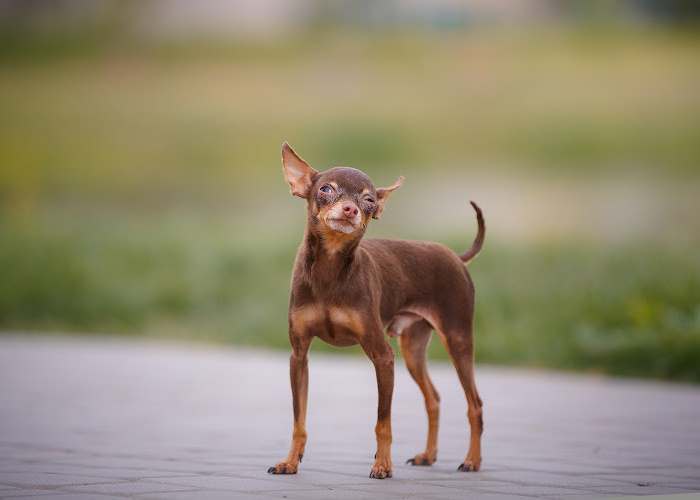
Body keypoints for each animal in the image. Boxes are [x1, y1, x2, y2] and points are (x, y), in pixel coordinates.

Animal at [268, 143, 486, 478]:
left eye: (369, 200)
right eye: (326, 189)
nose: (350, 209)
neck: (330, 270)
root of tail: (455, 257)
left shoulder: (383, 357)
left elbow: (383, 422)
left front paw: (382, 464)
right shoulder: (299, 356)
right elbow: (298, 420)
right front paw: (291, 461)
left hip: (457, 339)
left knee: (474, 404)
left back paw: (472, 460)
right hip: (413, 348)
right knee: (434, 398)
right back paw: (428, 455)